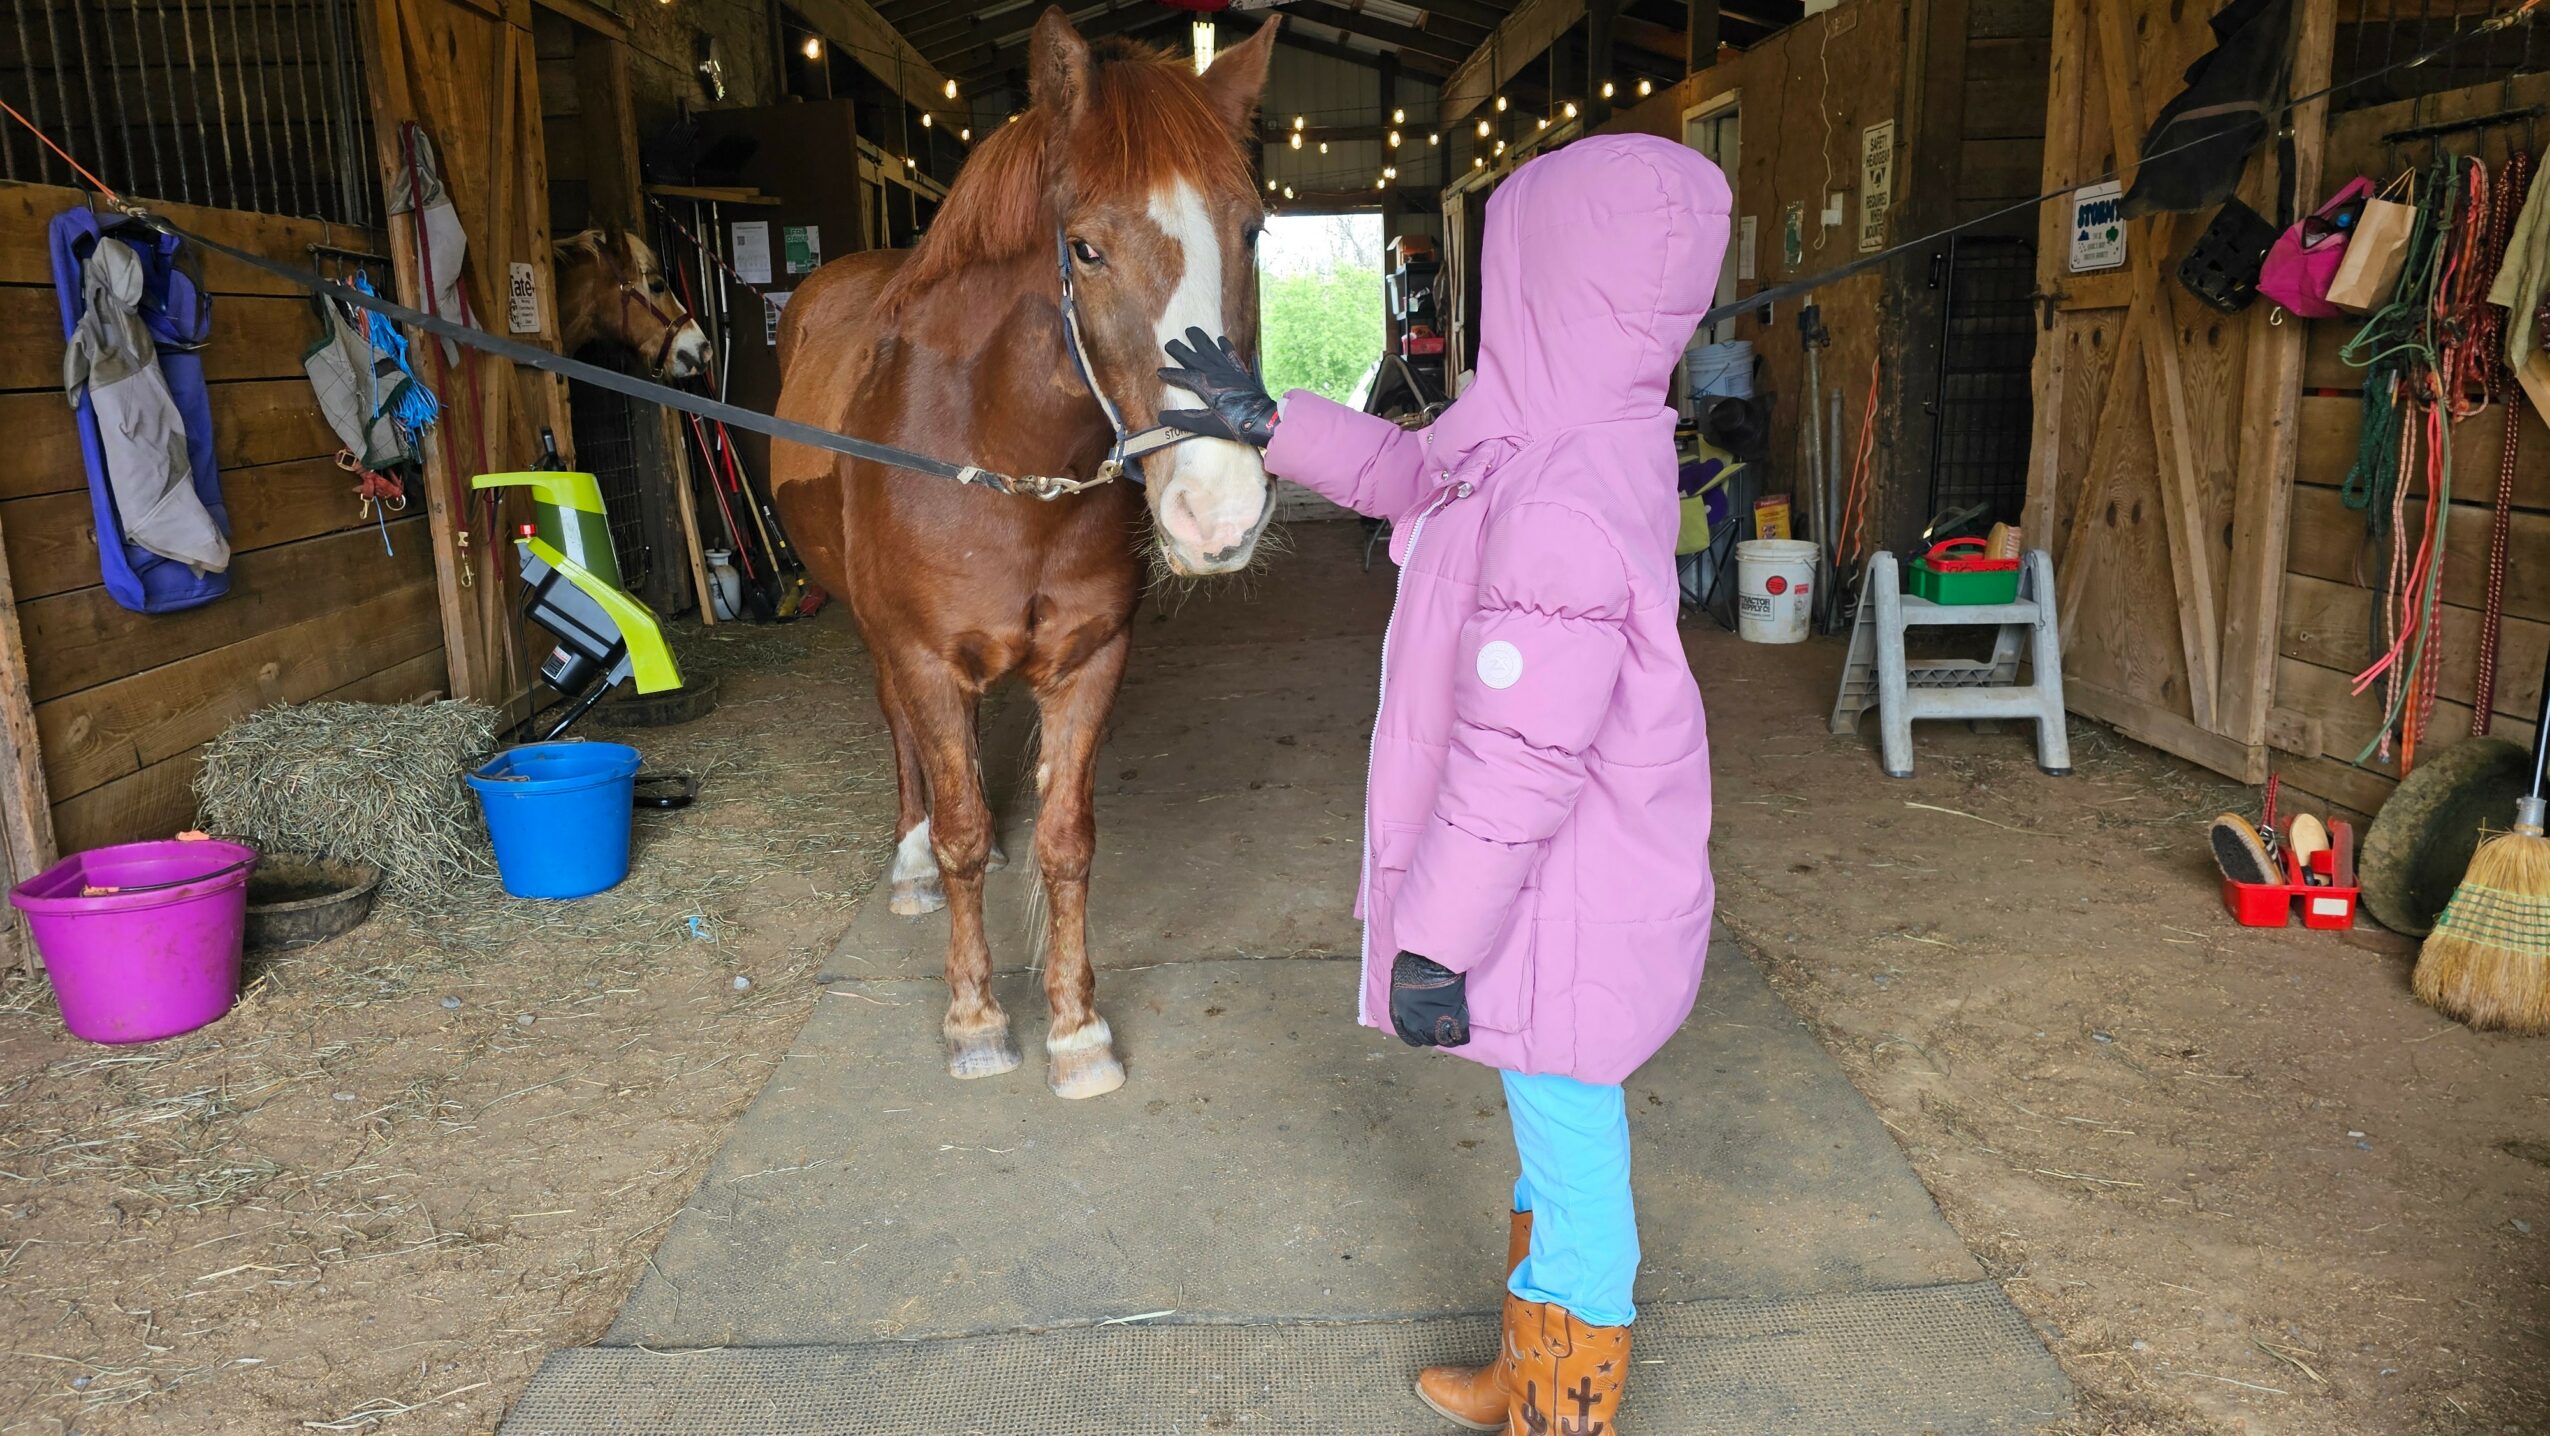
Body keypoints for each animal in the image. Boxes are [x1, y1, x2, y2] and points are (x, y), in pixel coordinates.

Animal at [770, 8, 1280, 1099]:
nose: (1218, 512)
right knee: (908, 745)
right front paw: (975, 1018)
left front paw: (1078, 1029)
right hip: (879, 639)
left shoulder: (1091, 660)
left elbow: (1066, 839)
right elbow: (963, 832)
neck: (1003, 466)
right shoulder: (923, 655)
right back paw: (911, 861)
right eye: (1085, 249)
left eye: (1252, 230)